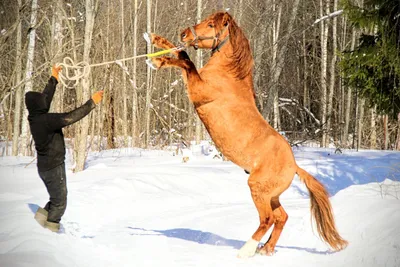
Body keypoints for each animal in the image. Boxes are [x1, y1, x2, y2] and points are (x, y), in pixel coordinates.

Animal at [146, 11, 346, 258]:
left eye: (210, 24)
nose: (184, 34)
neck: (227, 75)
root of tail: (294, 166)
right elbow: (180, 53)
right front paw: (155, 44)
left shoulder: (197, 89)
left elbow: (186, 60)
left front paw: (156, 59)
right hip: (272, 196)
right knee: (281, 217)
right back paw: (266, 249)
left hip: (257, 189)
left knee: (267, 219)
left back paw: (246, 250)